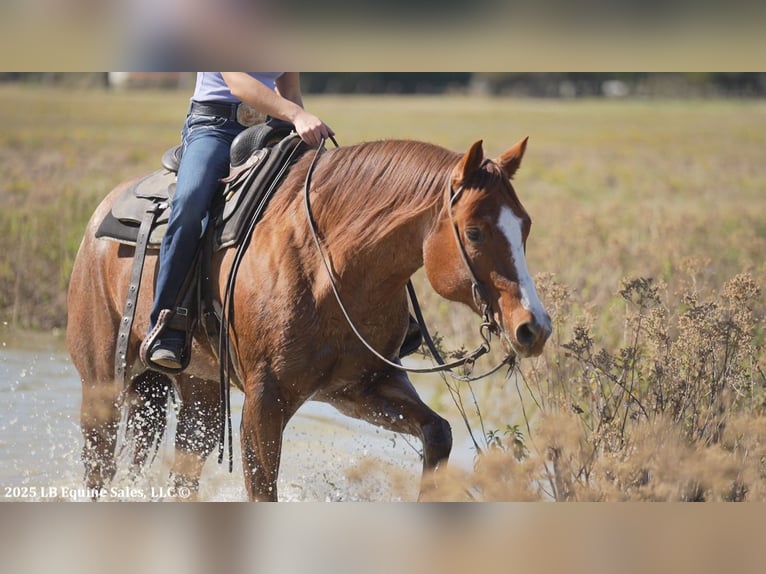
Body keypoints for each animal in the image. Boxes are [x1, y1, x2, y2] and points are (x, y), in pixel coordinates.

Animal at [66, 135, 552, 501]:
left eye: (526, 225)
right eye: (474, 231)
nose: (535, 327)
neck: (330, 264)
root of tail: (100, 216)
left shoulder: (359, 389)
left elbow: (439, 434)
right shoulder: (264, 403)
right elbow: (262, 488)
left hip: (200, 393)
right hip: (102, 384)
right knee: (99, 468)